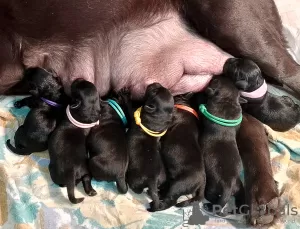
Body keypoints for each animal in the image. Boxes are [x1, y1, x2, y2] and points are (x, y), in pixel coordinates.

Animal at [126, 82, 173, 211]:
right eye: (160, 88)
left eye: (154, 92)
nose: (154, 83)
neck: (159, 116)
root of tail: (152, 180)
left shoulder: (134, 115)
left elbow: (129, 108)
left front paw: (124, 95)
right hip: (162, 177)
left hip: (134, 179)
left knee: (136, 188)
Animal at [198, 77, 245, 215]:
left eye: (215, 81)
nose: (215, 76)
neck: (228, 99)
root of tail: (228, 185)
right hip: (239, 185)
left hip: (211, 188)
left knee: (213, 199)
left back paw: (209, 206)